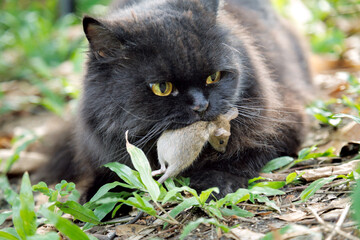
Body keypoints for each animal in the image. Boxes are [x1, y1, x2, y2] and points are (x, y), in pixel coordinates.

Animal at [45, 0, 314, 201]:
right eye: (162, 88)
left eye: (214, 77)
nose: (201, 106)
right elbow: (110, 175)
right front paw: (101, 196)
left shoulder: (284, 119)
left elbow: (241, 155)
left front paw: (215, 183)